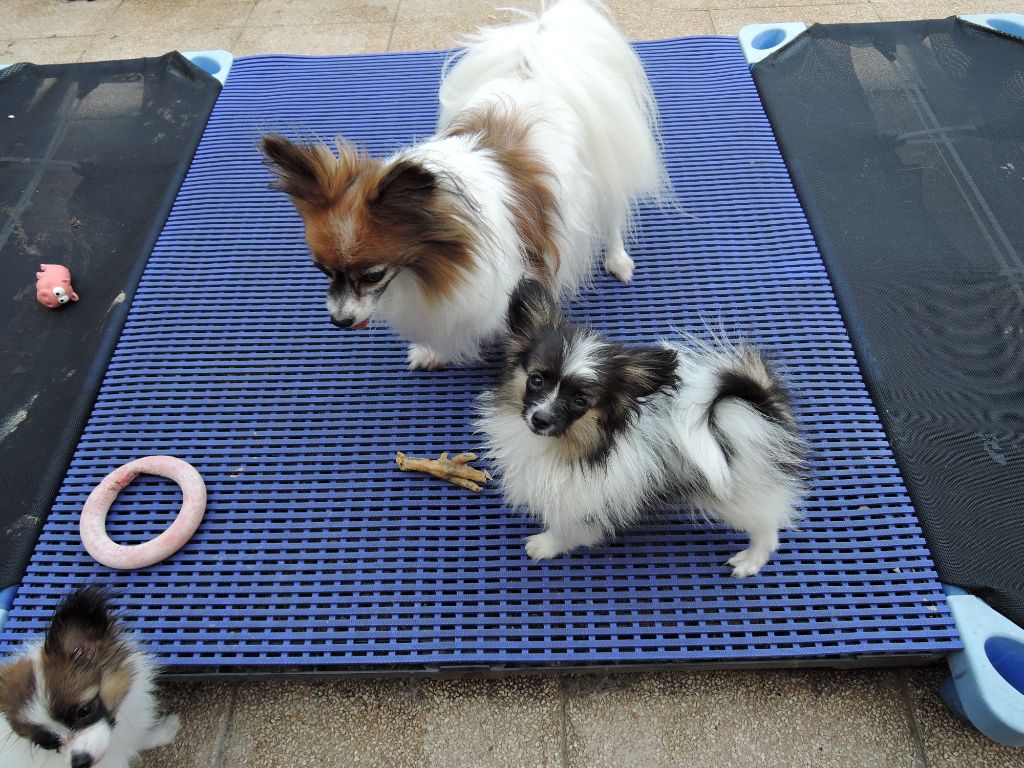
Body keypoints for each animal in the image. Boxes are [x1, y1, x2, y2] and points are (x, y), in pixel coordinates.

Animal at [260, 0, 667, 372]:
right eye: (322, 271)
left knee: (613, 217)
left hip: (601, 177)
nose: (339, 321)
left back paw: (618, 259)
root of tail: (535, 72)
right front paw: (431, 352)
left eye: (373, 275)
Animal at [479, 282, 806, 577]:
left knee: (768, 528)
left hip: (740, 494)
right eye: (536, 380)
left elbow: (568, 529)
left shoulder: (586, 501)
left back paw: (750, 561)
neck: (574, 443)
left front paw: (545, 545)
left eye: (580, 401)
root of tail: (764, 407)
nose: (540, 420)